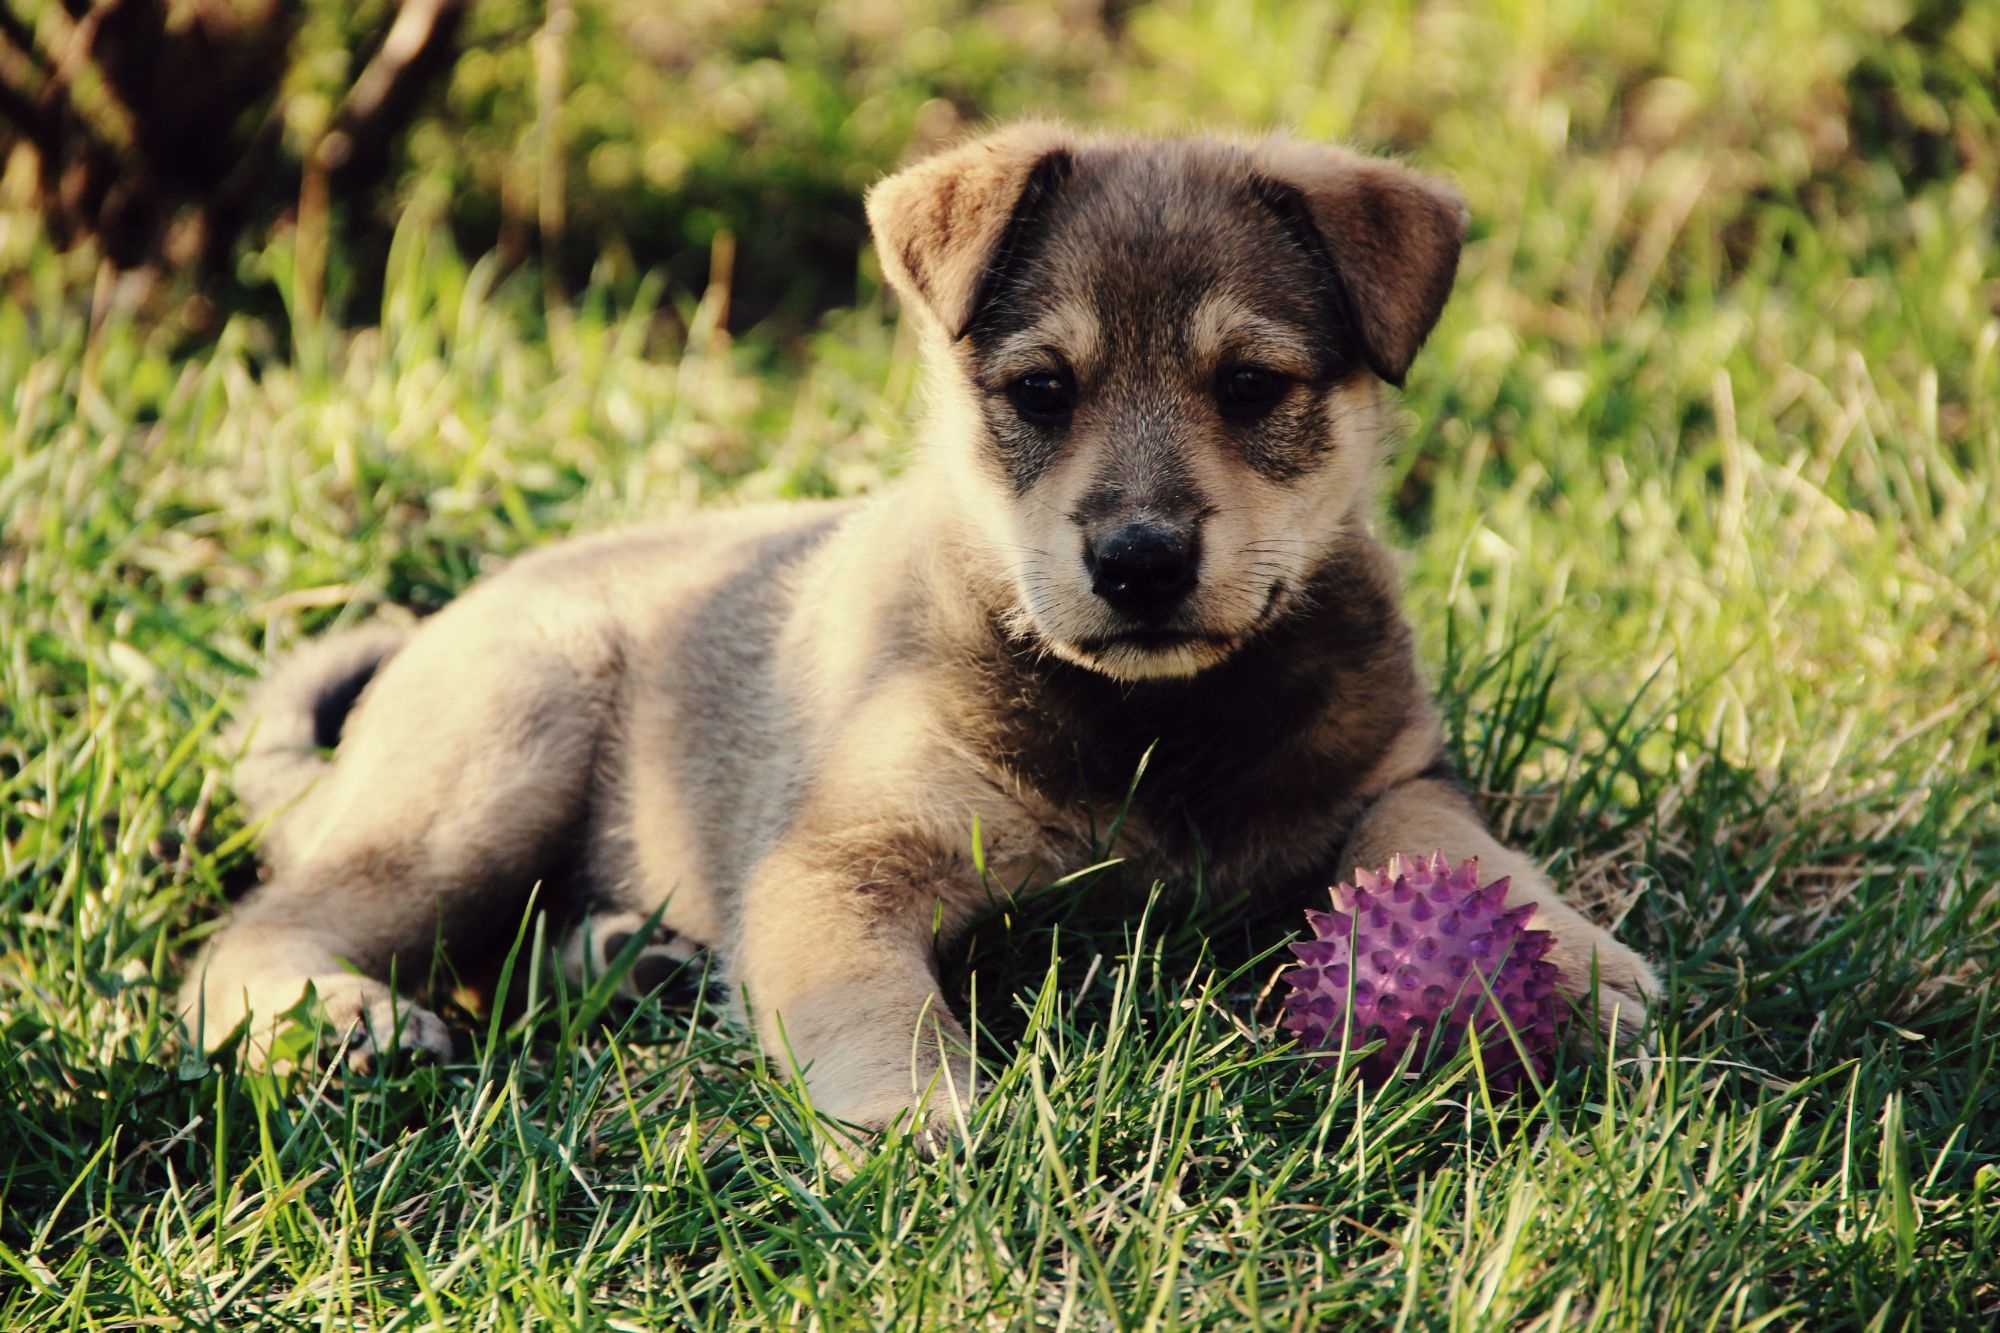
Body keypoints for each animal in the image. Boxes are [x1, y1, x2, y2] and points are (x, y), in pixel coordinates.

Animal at [184, 122, 1656, 1144]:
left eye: (1250, 387)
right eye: (1041, 391)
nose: (1138, 562)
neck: (1154, 727)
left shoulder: (1393, 773)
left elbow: (1460, 854)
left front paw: (1576, 961)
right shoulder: (841, 863)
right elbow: (872, 999)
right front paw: (914, 1114)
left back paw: (632, 957)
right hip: (489, 770)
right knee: (252, 935)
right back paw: (343, 1019)